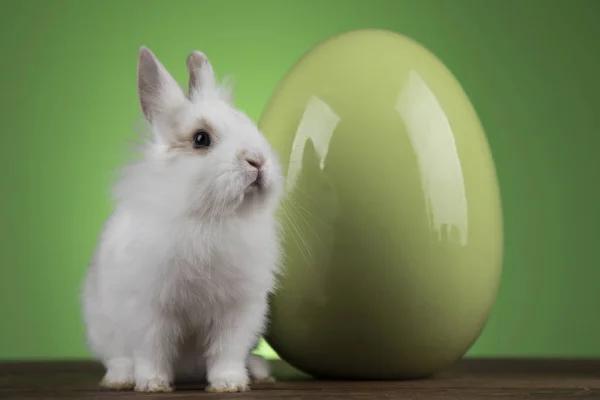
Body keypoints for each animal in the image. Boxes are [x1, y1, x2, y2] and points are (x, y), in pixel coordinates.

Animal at [81, 47, 284, 394]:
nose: (258, 160)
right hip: (103, 326)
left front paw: (229, 384)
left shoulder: (238, 309)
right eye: (201, 139)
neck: (209, 217)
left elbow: (227, 350)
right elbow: (153, 349)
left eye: (249, 124)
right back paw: (120, 379)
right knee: (118, 358)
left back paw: (259, 371)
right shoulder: (149, 309)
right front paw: (152, 384)